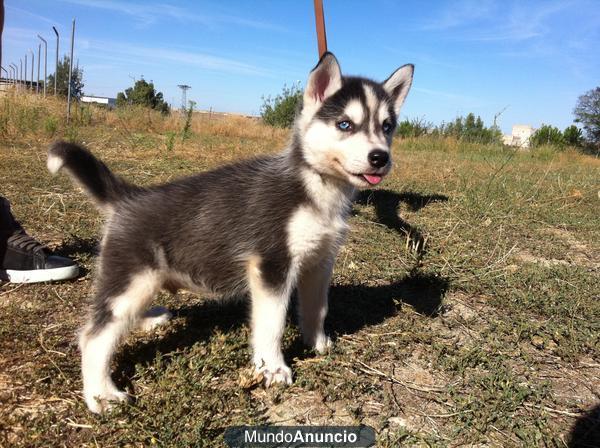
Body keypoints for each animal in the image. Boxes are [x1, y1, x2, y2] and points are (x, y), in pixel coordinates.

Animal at [48, 52, 412, 412]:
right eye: (345, 124)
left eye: (386, 126)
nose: (380, 158)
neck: (317, 187)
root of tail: (128, 196)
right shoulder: (272, 265)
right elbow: (272, 323)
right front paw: (273, 368)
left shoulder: (319, 262)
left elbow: (316, 308)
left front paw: (318, 343)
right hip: (133, 278)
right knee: (94, 336)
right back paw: (101, 395)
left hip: (141, 283)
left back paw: (148, 320)